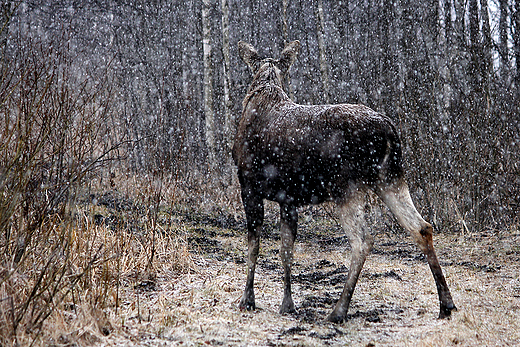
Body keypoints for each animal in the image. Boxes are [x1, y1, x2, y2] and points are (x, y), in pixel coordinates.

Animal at [232, 40, 456, 324]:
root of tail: (389, 131)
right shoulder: (288, 198)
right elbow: (286, 250)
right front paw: (287, 305)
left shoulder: (248, 186)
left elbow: (254, 247)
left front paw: (247, 301)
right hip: (390, 177)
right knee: (421, 227)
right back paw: (446, 304)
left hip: (346, 186)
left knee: (363, 240)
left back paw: (338, 310)